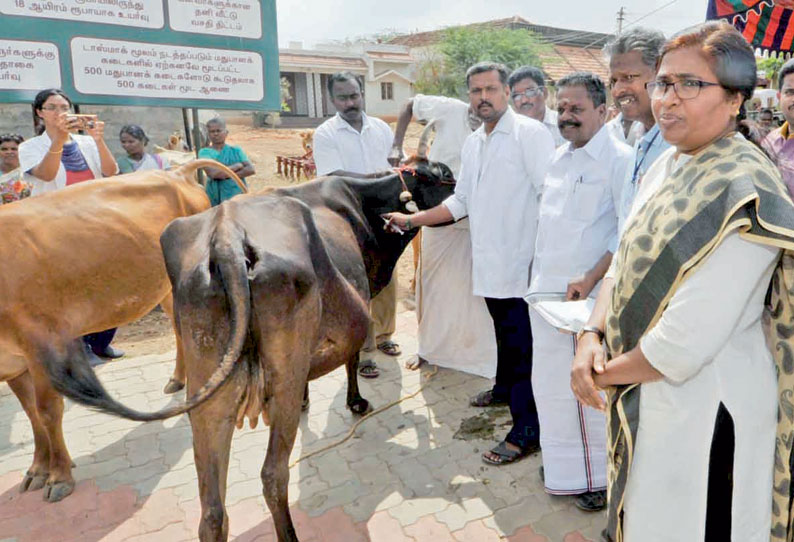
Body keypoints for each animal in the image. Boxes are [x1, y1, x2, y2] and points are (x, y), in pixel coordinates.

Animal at [0, 159, 241, 504]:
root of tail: (178, 171)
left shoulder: (41, 345)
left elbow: (47, 412)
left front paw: (59, 476)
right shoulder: (13, 361)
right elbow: (31, 412)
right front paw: (37, 469)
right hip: (165, 289)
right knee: (179, 330)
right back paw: (177, 379)